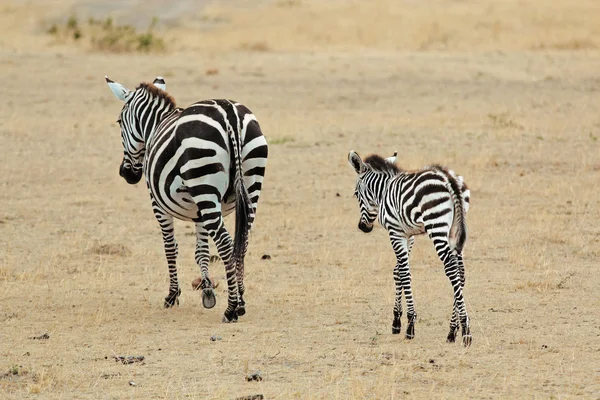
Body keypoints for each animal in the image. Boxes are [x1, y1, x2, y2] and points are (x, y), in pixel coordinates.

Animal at [106, 76, 270, 322]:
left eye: (118, 122)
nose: (126, 174)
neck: (155, 125)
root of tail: (229, 113)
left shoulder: (158, 204)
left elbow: (170, 247)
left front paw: (173, 295)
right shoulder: (200, 211)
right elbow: (201, 252)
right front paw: (207, 291)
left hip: (204, 178)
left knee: (225, 242)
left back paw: (231, 309)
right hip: (249, 183)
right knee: (242, 242)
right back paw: (240, 300)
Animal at [346, 152, 474, 346]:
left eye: (355, 194)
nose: (363, 227)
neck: (383, 192)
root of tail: (448, 178)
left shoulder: (395, 232)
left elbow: (405, 274)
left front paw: (409, 325)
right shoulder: (409, 235)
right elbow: (398, 271)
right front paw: (396, 321)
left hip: (436, 224)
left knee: (451, 269)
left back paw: (466, 330)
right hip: (454, 230)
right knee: (460, 273)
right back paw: (452, 330)